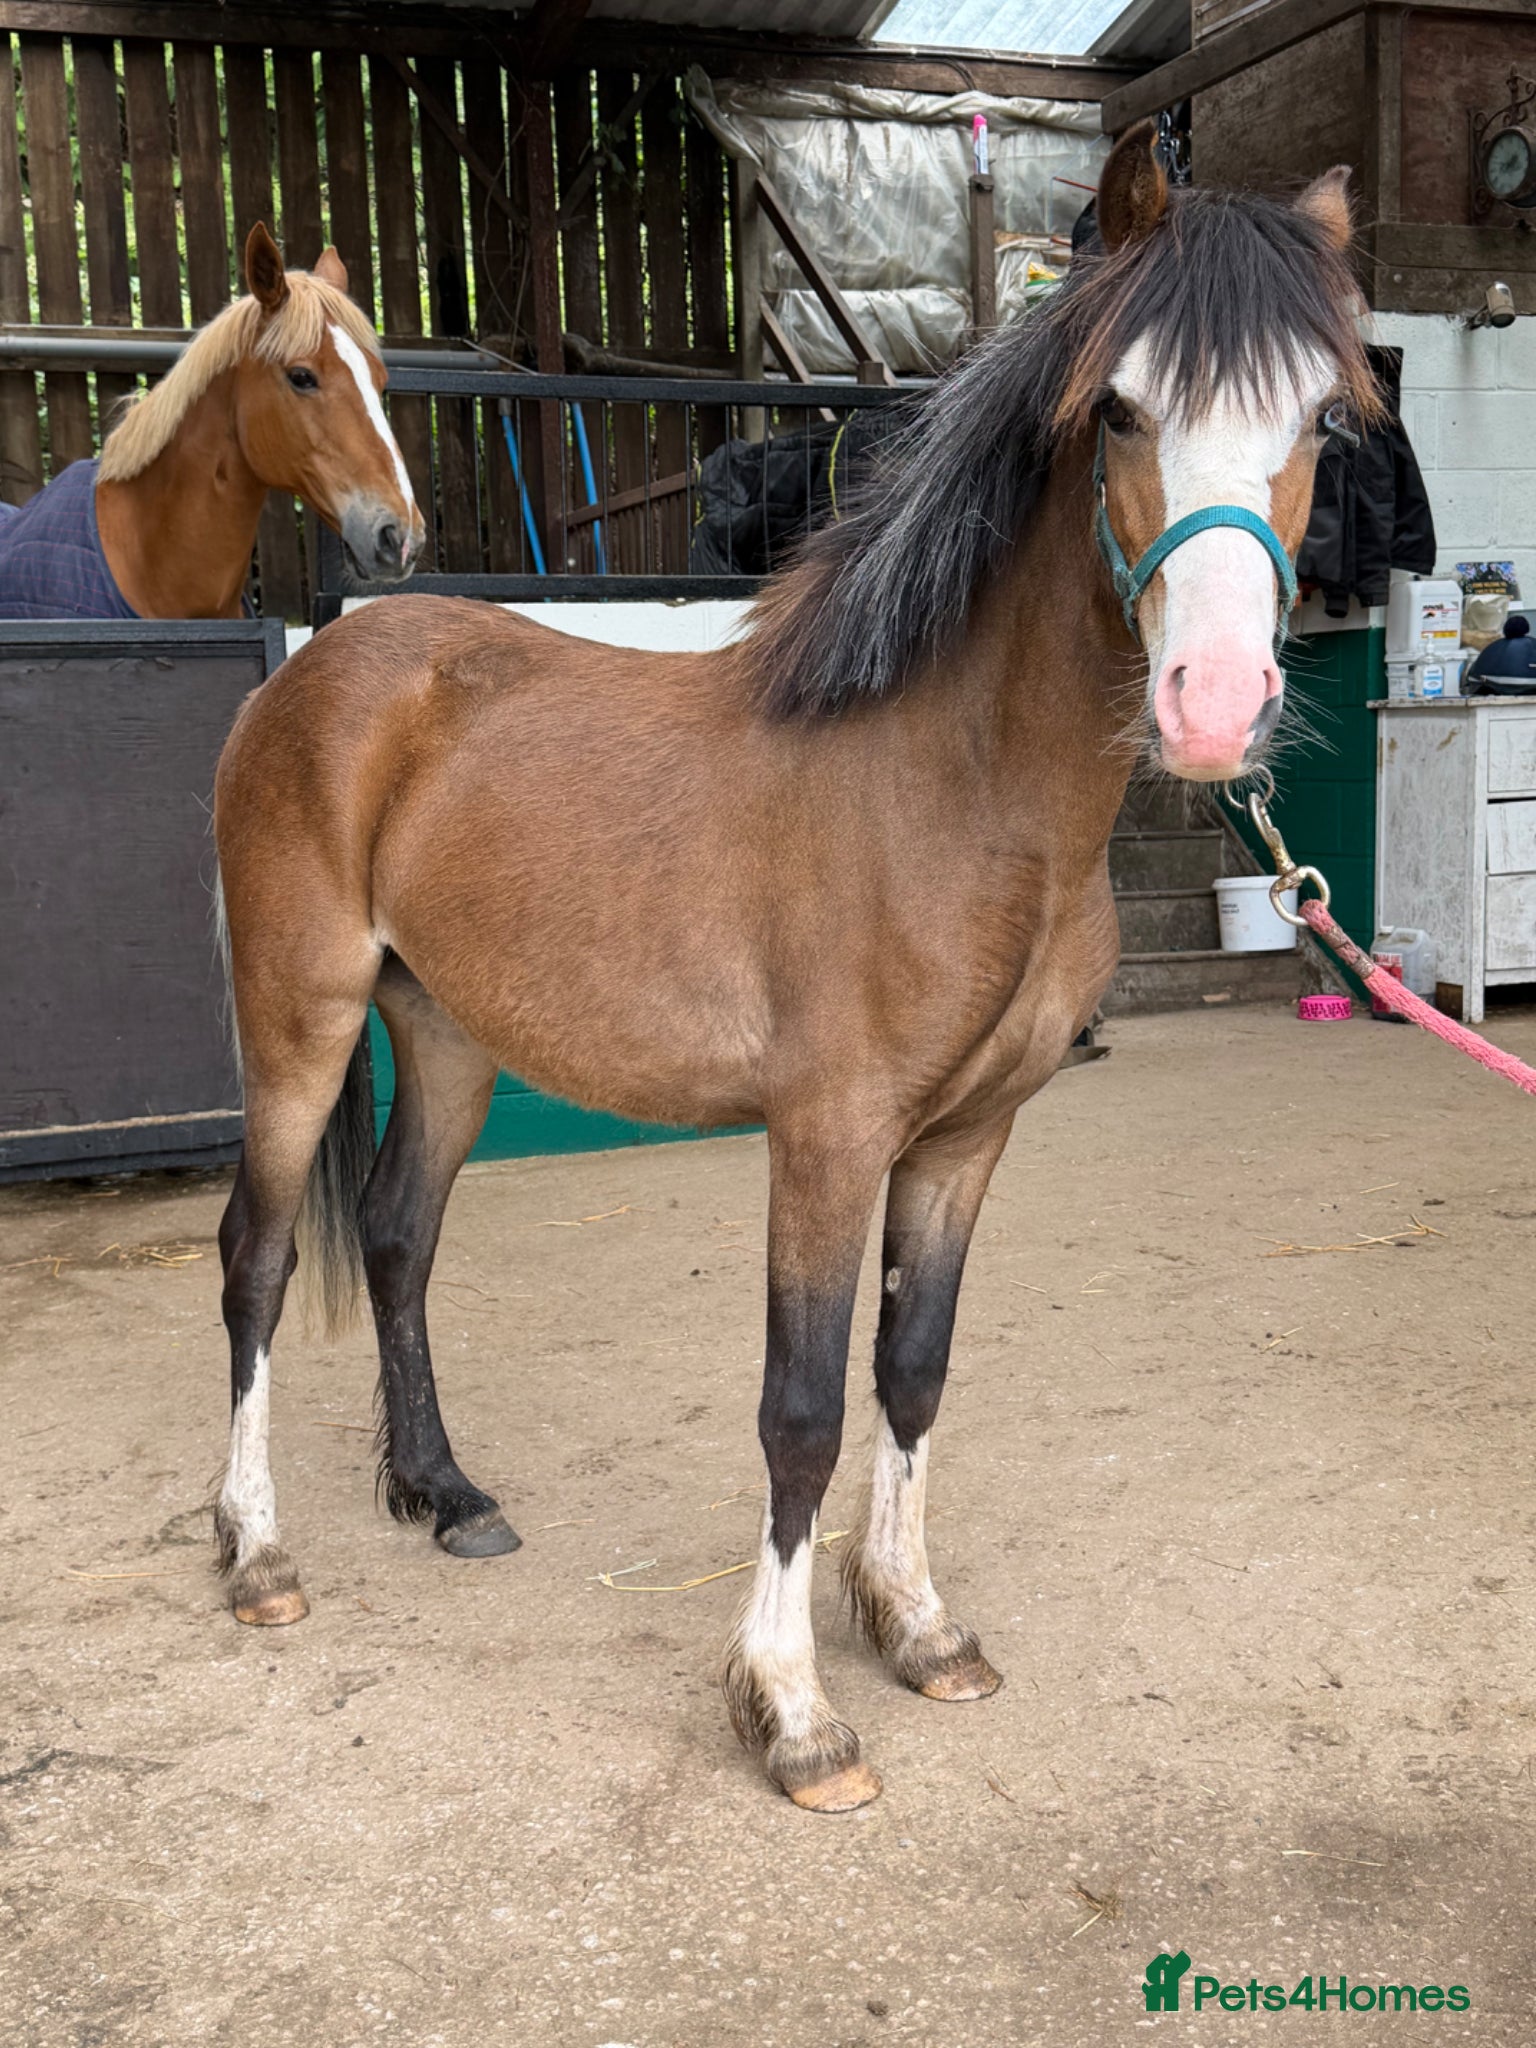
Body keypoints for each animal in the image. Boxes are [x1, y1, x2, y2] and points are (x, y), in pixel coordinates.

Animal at [209, 123, 1379, 1811]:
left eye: (1322, 422)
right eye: (1120, 408)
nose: (1213, 704)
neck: (955, 785)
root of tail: (314, 668)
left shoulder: (963, 1140)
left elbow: (914, 1371)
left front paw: (916, 1624)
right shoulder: (827, 1139)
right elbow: (805, 1406)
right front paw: (792, 1705)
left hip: (444, 1036)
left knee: (398, 1242)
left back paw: (445, 1493)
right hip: (298, 1023)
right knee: (256, 1257)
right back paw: (253, 1552)